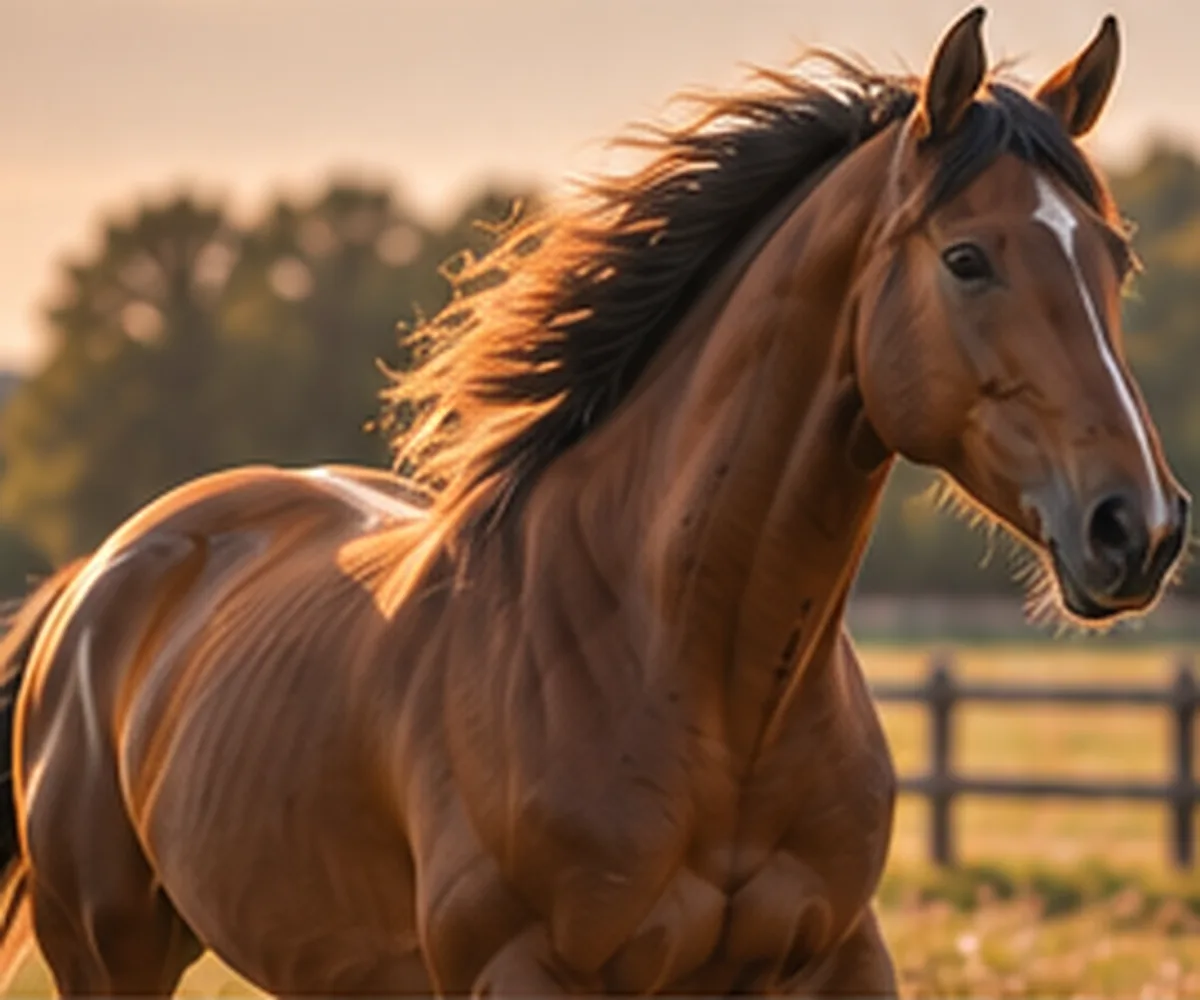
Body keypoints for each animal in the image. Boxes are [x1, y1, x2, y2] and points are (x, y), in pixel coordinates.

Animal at [0, 7, 1190, 996]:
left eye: (1116, 259)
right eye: (968, 258)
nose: (1138, 527)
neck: (688, 668)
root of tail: (103, 574)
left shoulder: (839, 959)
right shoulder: (525, 971)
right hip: (109, 951)